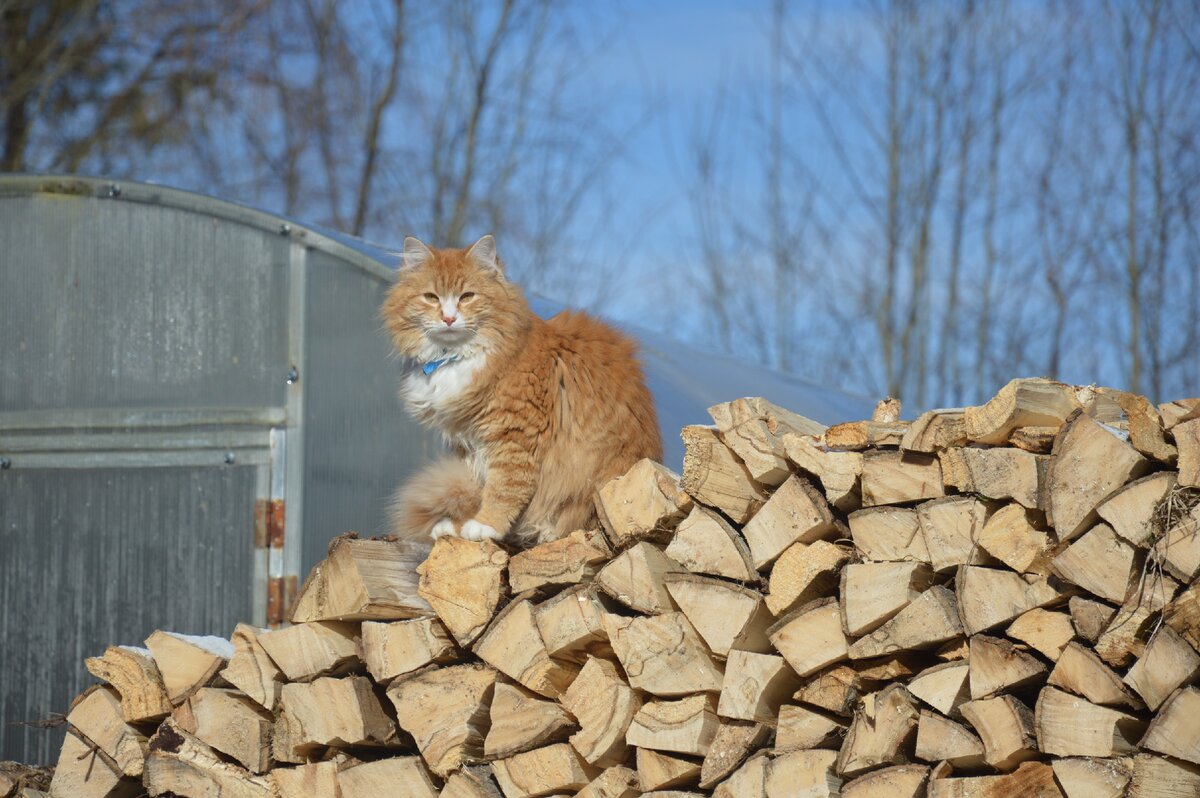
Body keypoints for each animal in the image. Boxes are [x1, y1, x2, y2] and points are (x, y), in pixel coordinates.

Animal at [381, 234, 662, 544]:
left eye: (467, 296)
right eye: (431, 297)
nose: (449, 319)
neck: (455, 357)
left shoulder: (516, 432)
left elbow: (505, 487)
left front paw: (485, 525)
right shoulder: (468, 445)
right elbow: (479, 489)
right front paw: (460, 525)